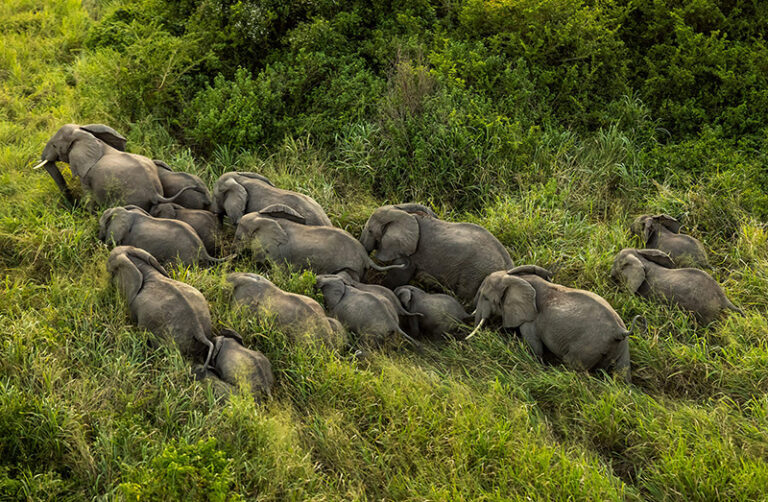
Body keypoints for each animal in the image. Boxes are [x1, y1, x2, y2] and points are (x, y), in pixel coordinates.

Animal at [35, 123, 192, 210]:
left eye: (54, 146)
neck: (84, 134)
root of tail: (155, 193)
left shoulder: (86, 174)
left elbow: (89, 198)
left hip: (131, 198)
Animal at [235, 205, 405, 281]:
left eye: (238, 238)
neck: (267, 219)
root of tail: (365, 256)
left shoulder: (279, 253)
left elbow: (279, 273)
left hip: (353, 266)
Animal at [359, 204, 514, 303]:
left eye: (370, 231)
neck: (405, 215)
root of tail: (508, 264)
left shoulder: (409, 255)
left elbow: (396, 278)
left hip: (476, 273)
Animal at [470, 266, 633, 381]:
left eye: (485, 297)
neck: (517, 279)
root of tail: (620, 330)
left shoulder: (532, 320)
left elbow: (534, 347)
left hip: (588, 347)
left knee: (574, 368)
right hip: (621, 347)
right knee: (622, 375)